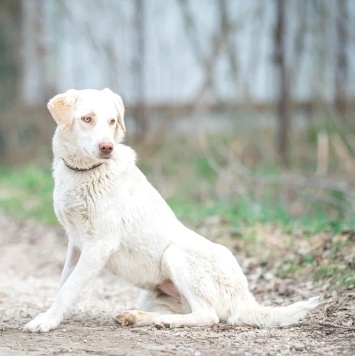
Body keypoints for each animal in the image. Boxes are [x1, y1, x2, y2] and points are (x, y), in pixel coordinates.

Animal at [23, 87, 322, 332]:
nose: (107, 147)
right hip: (154, 294)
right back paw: (137, 317)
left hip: (176, 254)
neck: (86, 173)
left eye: (112, 121)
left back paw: (167, 322)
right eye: (87, 119)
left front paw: (46, 322)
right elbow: (64, 283)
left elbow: (70, 287)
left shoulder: (99, 245)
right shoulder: (75, 244)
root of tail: (245, 299)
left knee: (208, 316)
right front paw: (53, 316)